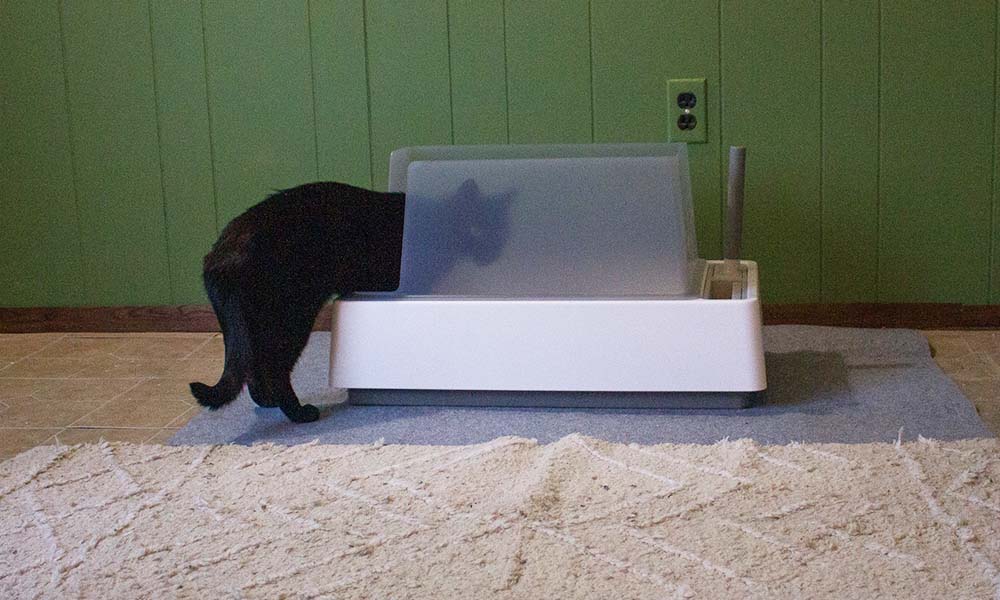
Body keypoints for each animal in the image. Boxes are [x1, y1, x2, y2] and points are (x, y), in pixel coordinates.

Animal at [191, 178, 512, 422]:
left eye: (501, 233)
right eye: (478, 229)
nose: (493, 253)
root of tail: (223, 252)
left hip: (254, 325)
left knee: (253, 365)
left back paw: (268, 402)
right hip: (293, 317)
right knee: (274, 368)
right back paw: (299, 413)